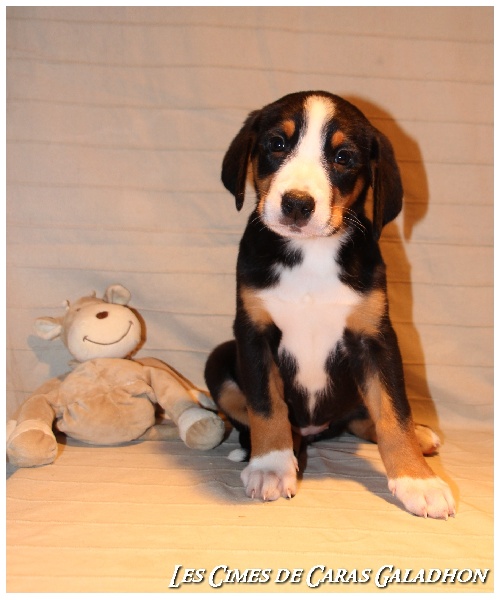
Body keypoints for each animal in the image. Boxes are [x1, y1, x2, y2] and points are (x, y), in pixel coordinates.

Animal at [204, 91, 455, 519]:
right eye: (277, 144)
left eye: (342, 157)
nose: (297, 204)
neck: (310, 254)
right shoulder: (253, 332)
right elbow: (265, 406)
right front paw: (271, 466)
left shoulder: (375, 338)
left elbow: (394, 412)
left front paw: (417, 481)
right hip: (219, 357)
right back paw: (268, 448)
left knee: (363, 418)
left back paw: (420, 437)